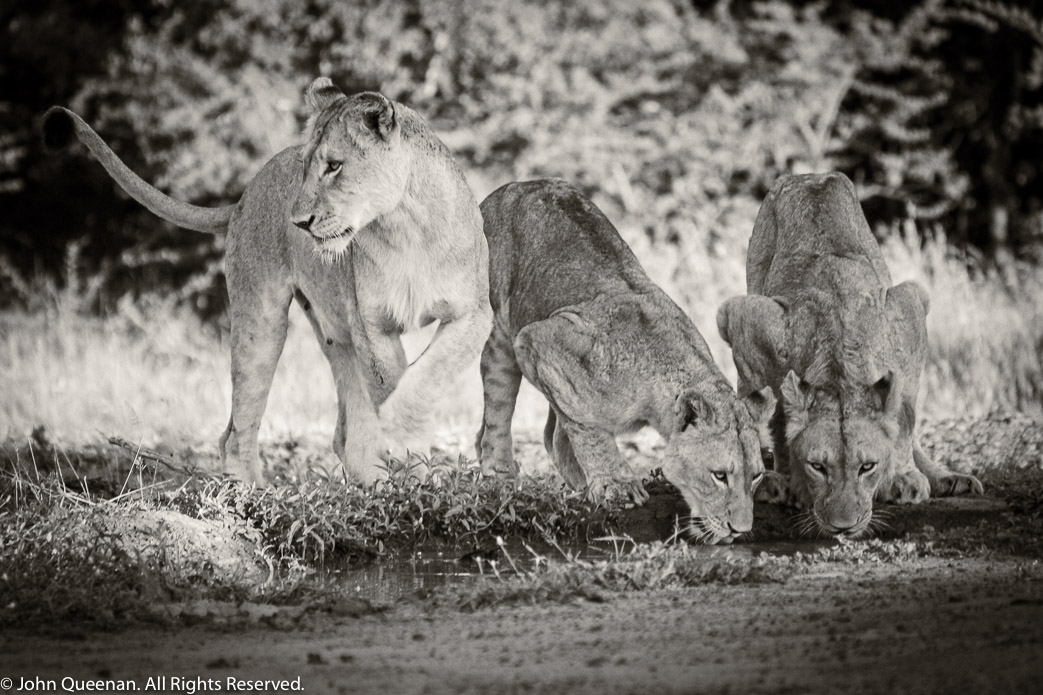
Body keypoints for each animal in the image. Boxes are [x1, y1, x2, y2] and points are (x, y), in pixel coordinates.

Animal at [43, 77, 493, 485]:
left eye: (334, 166)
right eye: (305, 168)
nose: (299, 222)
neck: (404, 227)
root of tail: (245, 193)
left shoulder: (473, 314)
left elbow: (427, 375)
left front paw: (403, 448)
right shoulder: (373, 327)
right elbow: (394, 383)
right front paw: (404, 451)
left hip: (337, 333)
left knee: (343, 431)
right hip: (263, 322)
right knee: (236, 429)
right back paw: (254, 496)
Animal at [476, 179, 776, 544]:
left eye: (757, 476)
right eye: (719, 475)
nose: (740, 530)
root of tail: (513, 185)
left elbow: (568, 430)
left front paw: (590, 483)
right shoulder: (541, 339)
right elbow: (587, 426)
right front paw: (617, 484)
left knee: (549, 431)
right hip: (504, 331)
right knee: (498, 397)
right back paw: (499, 470)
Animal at [716, 172, 982, 538]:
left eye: (867, 467)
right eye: (818, 467)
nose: (843, 527)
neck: (838, 363)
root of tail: (810, 175)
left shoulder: (910, 308)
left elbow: (905, 417)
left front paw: (903, 477)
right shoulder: (741, 319)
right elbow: (777, 416)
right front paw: (786, 481)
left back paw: (947, 478)